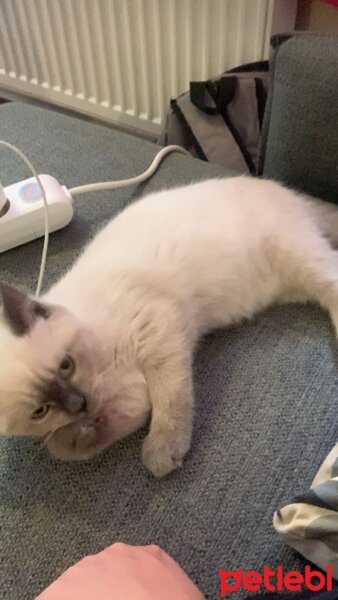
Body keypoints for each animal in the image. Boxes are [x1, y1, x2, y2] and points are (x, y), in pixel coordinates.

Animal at [0, 176, 338, 476]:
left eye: (66, 365)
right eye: (40, 412)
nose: (78, 405)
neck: (107, 366)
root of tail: (284, 190)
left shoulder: (160, 337)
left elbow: (170, 403)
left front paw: (161, 454)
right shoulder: (131, 398)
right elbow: (66, 447)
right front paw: (79, 432)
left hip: (296, 257)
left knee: (332, 281)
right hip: (290, 285)